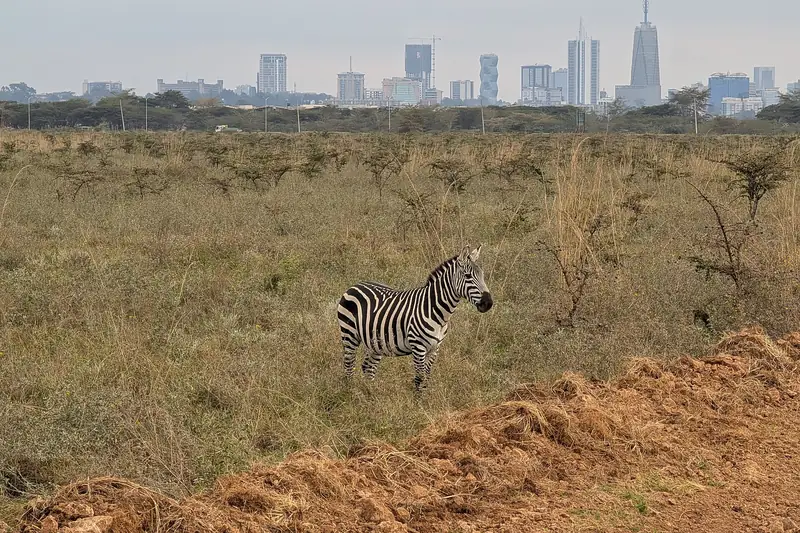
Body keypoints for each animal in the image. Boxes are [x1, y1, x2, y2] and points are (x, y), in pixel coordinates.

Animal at [337, 245, 493, 392]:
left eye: (483, 276)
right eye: (467, 276)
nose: (488, 303)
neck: (436, 310)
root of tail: (355, 285)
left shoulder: (434, 349)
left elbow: (427, 378)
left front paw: (424, 399)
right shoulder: (418, 347)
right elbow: (420, 378)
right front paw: (418, 401)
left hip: (375, 341)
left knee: (368, 367)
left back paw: (371, 393)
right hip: (349, 334)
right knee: (349, 365)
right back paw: (351, 393)